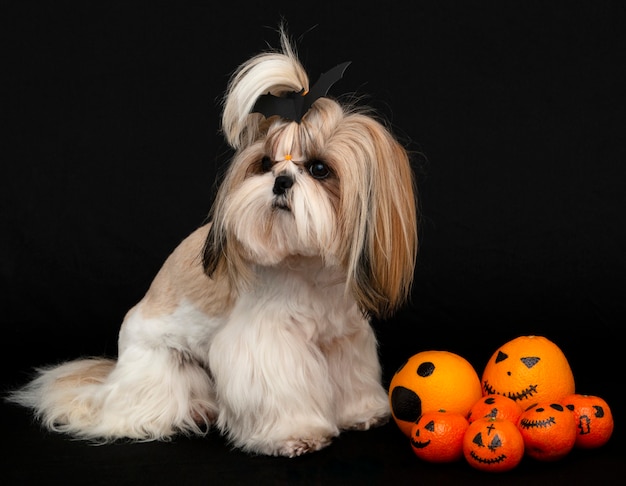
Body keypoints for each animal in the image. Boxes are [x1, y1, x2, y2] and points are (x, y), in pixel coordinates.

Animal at [7, 28, 416, 458]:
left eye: (320, 169)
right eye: (264, 164)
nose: (281, 181)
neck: (307, 267)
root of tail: (111, 379)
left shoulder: (343, 336)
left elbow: (350, 374)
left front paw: (360, 412)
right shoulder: (266, 344)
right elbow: (280, 389)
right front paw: (295, 434)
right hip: (162, 368)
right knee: (140, 406)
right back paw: (191, 411)